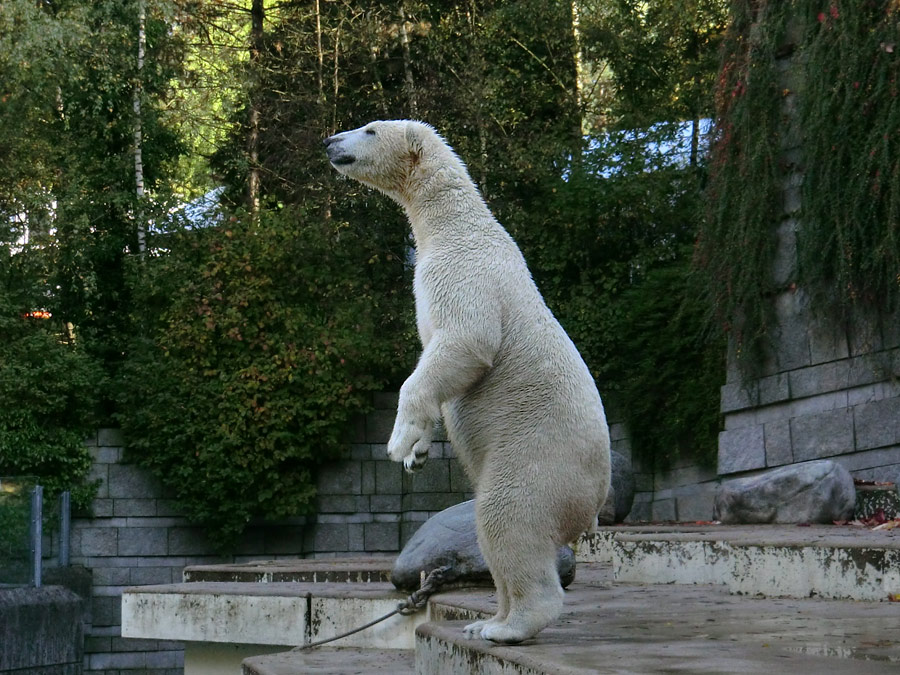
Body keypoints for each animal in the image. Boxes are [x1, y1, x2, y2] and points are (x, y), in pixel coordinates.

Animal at [324, 121, 612, 644]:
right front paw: (418, 452)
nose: (330, 142)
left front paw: (399, 441)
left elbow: (466, 340)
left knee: (507, 515)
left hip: (539, 452)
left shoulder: (462, 270)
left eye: (370, 129)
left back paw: (509, 626)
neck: (456, 223)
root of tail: (594, 505)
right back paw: (487, 619)